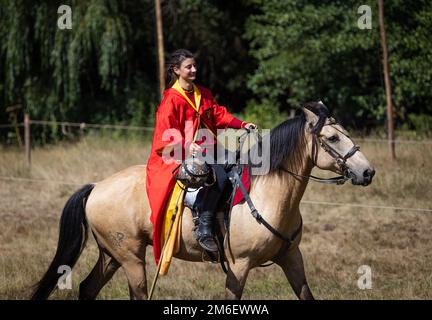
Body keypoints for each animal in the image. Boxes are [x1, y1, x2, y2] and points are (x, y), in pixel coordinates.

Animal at [30, 102, 374, 300]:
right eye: (332, 138)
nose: (367, 171)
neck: (269, 193)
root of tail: (97, 186)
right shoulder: (239, 266)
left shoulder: (292, 257)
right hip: (131, 259)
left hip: (112, 255)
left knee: (88, 288)